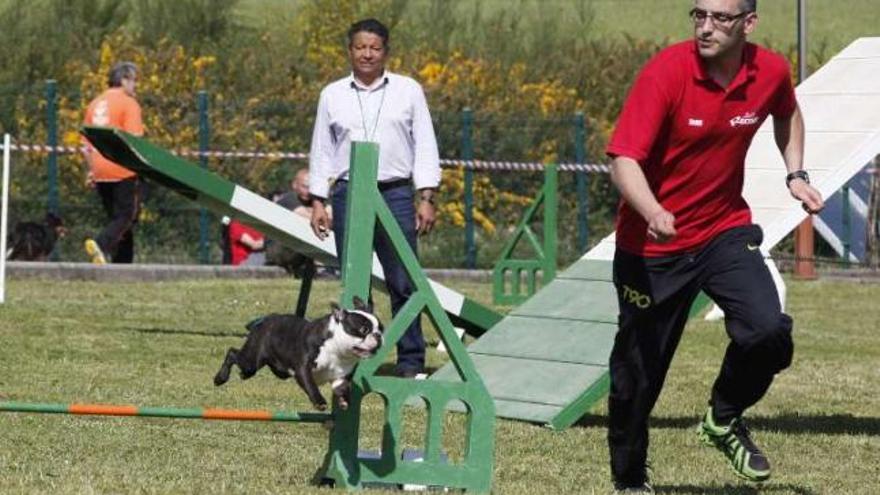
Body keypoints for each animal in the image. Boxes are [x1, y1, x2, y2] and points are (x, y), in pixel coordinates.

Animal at [213, 298, 382, 410]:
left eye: (381, 328)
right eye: (363, 330)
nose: (378, 335)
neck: (337, 350)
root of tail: (264, 320)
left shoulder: (340, 376)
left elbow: (342, 387)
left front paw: (344, 400)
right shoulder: (303, 369)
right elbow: (311, 385)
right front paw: (320, 402)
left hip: (275, 369)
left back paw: (243, 375)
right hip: (251, 359)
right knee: (232, 353)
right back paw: (220, 378)